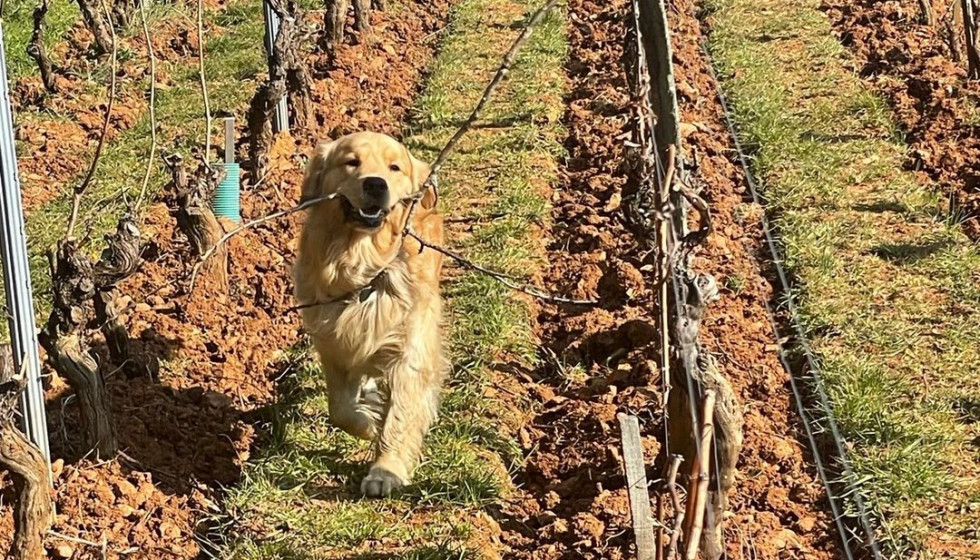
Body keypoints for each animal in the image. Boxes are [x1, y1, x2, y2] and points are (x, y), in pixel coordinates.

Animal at [290, 132, 446, 498]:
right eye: (351, 162)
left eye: (394, 167)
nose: (376, 184)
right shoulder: (332, 342)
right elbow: (340, 409)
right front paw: (369, 422)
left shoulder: (410, 348)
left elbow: (401, 413)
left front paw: (386, 470)